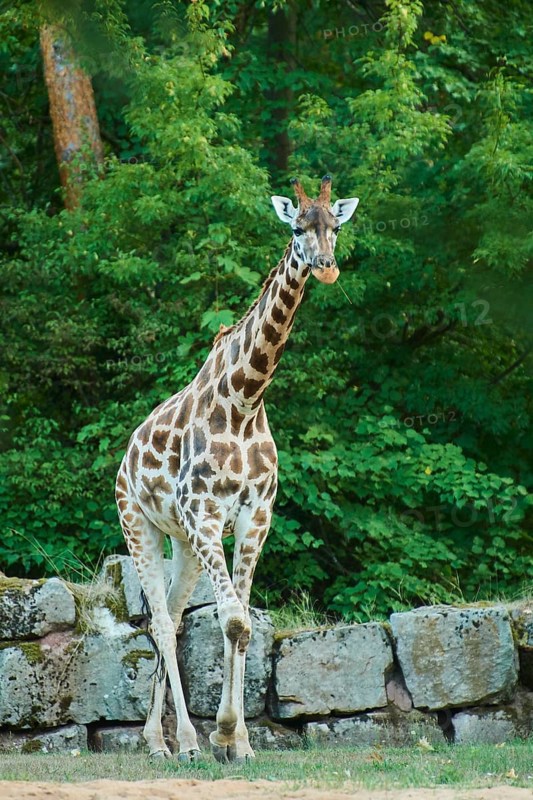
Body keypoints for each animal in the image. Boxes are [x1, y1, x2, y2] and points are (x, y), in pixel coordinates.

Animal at [115, 175, 359, 763]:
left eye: (336, 227)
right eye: (297, 227)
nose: (326, 266)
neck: (246, 400)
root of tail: (125, 455)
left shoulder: (255, 516)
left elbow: (241, 625)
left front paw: (239, 740)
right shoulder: (204, 512)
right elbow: (230, 618)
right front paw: (219, 734)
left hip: (183, 542)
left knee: (174, 620)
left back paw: (158, 740)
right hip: (139, 525)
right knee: (161, 622)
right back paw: (178, 743)